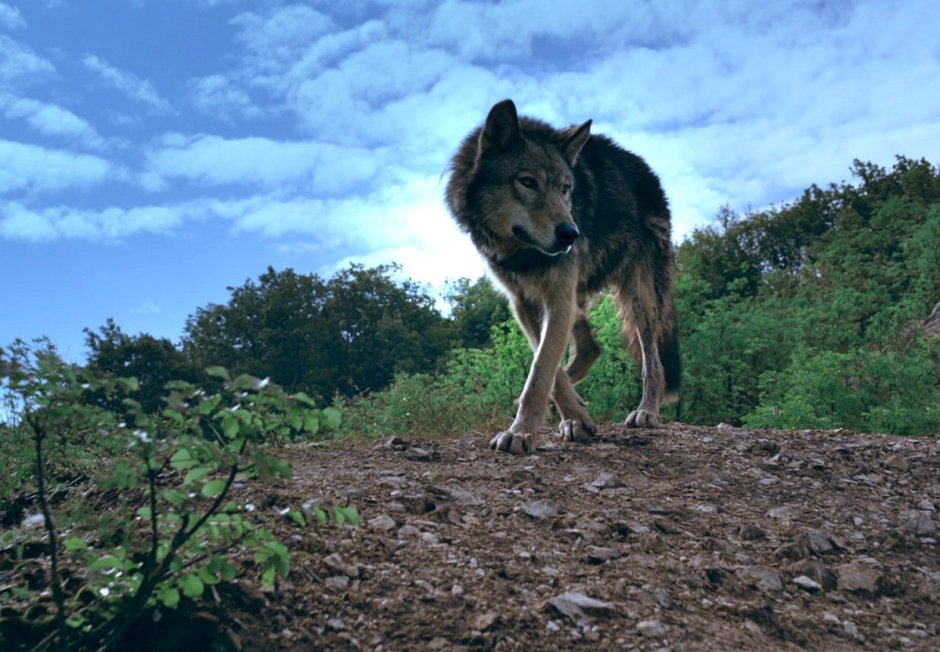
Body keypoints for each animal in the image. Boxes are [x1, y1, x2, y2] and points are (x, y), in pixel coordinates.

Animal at [445, 99, 680, 454]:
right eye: (528, 182)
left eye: (565, 188)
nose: (571, 234)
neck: (520, 253)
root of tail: (650, 173)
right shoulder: (524, 302)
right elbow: (546, 367)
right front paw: (574, 417)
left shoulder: (557, 297)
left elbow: (540, 371)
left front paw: (520, 433)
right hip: (579, 298)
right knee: (590, 349)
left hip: (639, 300)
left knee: (652, 364)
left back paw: (646, 411)